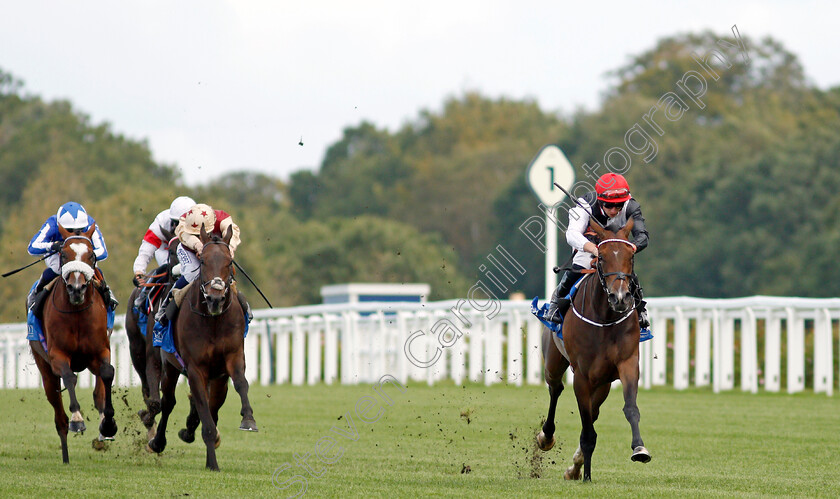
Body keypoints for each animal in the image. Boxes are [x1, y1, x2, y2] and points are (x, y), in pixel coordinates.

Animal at [30, 224, 116, 464]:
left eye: (92, 255)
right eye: (63, 254)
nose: (76, 289)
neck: (77, 313)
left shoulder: (100, 351)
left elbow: (107, 373)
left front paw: (108, 424)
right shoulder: (57, 355)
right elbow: (69, 377)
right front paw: (77, 419)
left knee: (99, 391)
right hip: (45, 369)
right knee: (59, 415)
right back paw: (66, 455)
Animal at [123, 236, 177, 440]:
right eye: (172, 251)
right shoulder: (153, 354)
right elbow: (154, 401)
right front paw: (146, 418)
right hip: (136, 348)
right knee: (146, 387)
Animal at [148, 225, 258, 470]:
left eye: (229, 262)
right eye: (204, 261)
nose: (216, 298)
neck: (214, 321)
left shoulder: (233, 358)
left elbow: (241, 384)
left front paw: (248, 419)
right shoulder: (195, 369)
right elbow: (203, 416)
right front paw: (213, 463)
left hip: (218, 380)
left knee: (211, 405)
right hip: (170, 366)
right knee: (168, 403)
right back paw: (158, 442)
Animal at [540, 220, 648, 484]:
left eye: (631, 257)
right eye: (601, 257)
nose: (620, 298)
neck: (605, 317)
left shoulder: (628, 363)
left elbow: (630, 408)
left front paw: (639, 448)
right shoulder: (582, 376)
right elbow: (587, 429)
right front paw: (586, 475)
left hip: (603, 383)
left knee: (593, 410)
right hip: (554, 363)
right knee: (556, 390)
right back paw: (546, 437)